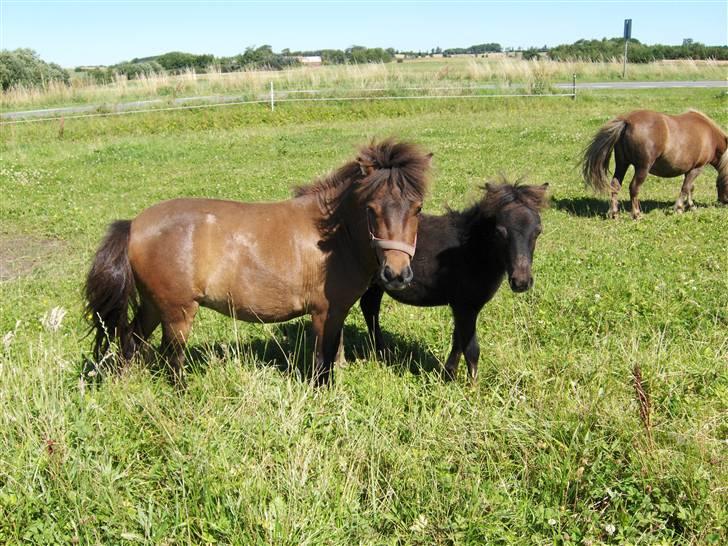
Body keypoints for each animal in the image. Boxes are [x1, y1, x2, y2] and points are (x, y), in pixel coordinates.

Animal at [84, 141, 432, 386]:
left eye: (417, 208)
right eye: (371, 209)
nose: (396, 274)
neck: (334, 236)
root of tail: (133, 225)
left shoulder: (337, 311)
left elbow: (334, 355)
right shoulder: (325, 312)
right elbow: (322, 363)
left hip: (153, 306)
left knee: (130, 341)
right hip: (177, 312)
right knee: (172, 360)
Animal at [580, 108, 728, 219]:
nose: (723, 201)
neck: (710, 136)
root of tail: (627, 121)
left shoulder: (690, 170)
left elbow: (690, 188)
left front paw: (691, 206)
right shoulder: (696, 168)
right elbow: (685, 188)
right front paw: (679, 208)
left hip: (622, 164)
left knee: (615, 185)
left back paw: (614, 213)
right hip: (642, 168)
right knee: (634, 187)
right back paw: (637, 214)